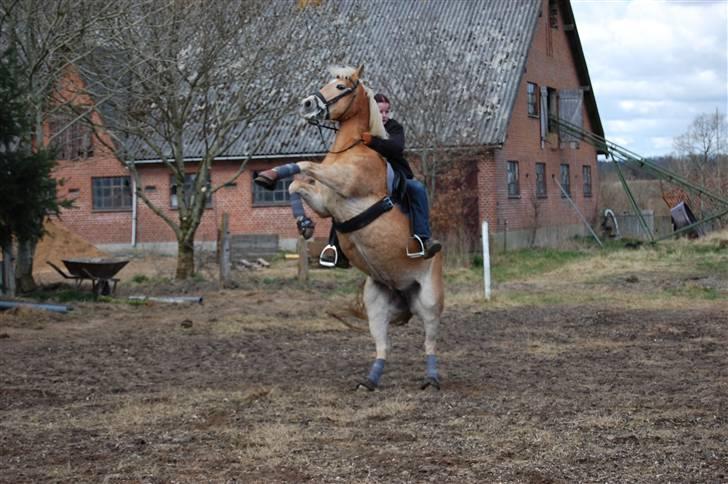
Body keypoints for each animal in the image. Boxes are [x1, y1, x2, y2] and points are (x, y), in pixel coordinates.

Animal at [255, 65, 444, 390]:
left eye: (341, 86)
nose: (307, 104)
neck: (350, 149)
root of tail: (403, 290)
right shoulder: (323, 203)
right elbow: (296, 184)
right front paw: (302, 221)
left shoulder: (345, 183)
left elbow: (305, 165)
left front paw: (273, 175)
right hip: (376, 303)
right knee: (384, 346)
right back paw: (369, 380)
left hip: (430, 302)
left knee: (429, 342)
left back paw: (430, 378)